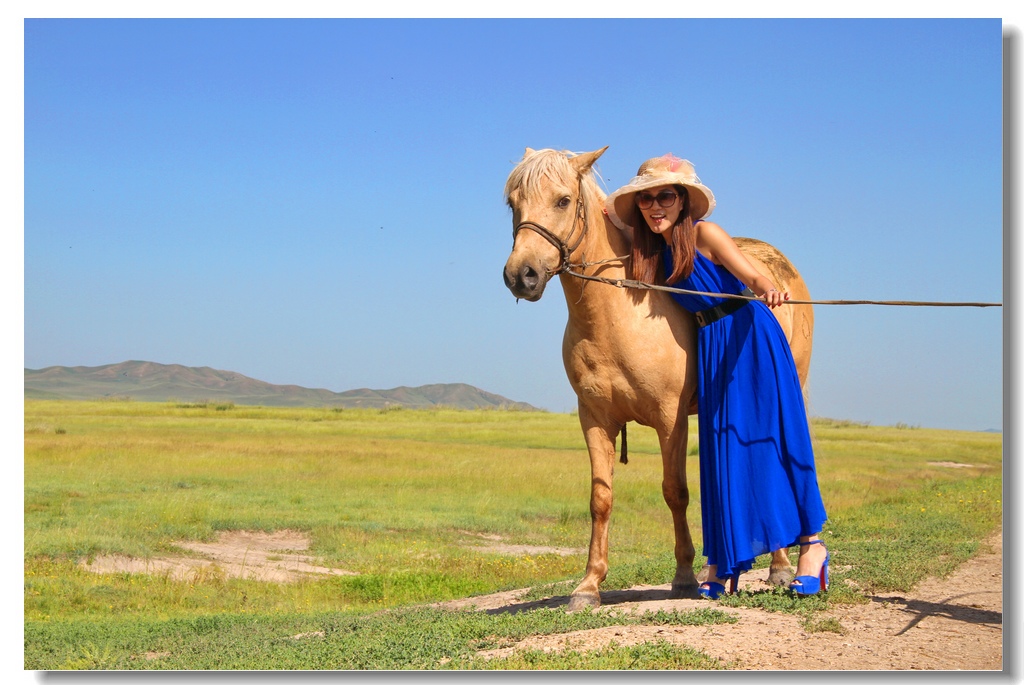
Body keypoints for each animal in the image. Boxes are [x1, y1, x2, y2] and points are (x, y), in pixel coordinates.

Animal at [503, 145, 815, 610]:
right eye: (513, 204)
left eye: (562, 200)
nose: (520, 275)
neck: (619, 314)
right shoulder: (594, 418)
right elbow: (601, 498)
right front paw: (589, 585)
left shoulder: (671, 418)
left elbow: (675, 491)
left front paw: (684, 575)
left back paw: (780, 568)